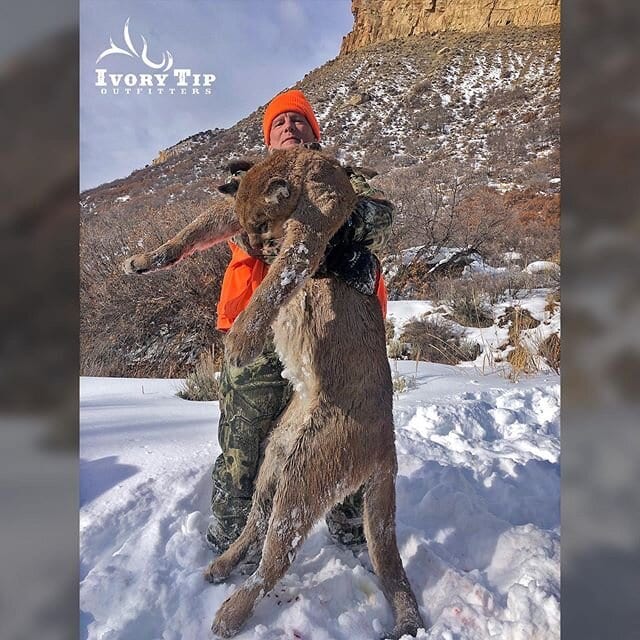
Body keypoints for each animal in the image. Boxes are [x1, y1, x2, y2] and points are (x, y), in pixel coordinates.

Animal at [124, 147, 424, 639]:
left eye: (262, 223)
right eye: (247, 225)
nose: (251, 245)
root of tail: (388, 447)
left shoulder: (313, 234)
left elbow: (276, 281)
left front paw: (241, 340)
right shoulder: (233, 211)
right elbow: (194, 228)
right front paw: (144, 260)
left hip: (307, 476)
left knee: (277, 557)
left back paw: (228, 613)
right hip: (276, 455)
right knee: (256, 520)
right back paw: (222, 565)